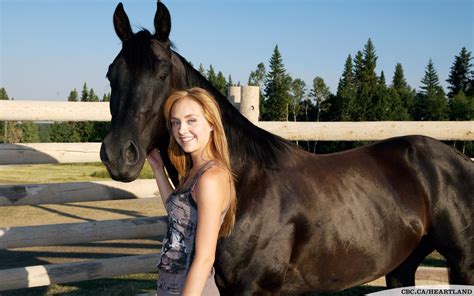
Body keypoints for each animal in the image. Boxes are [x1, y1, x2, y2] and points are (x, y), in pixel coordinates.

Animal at [99, 1, 470, 294]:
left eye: (162, 73)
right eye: (111, 74)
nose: (118, 154)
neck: (245, 184)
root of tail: (460, 161)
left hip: (464, 264)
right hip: (401, 266)